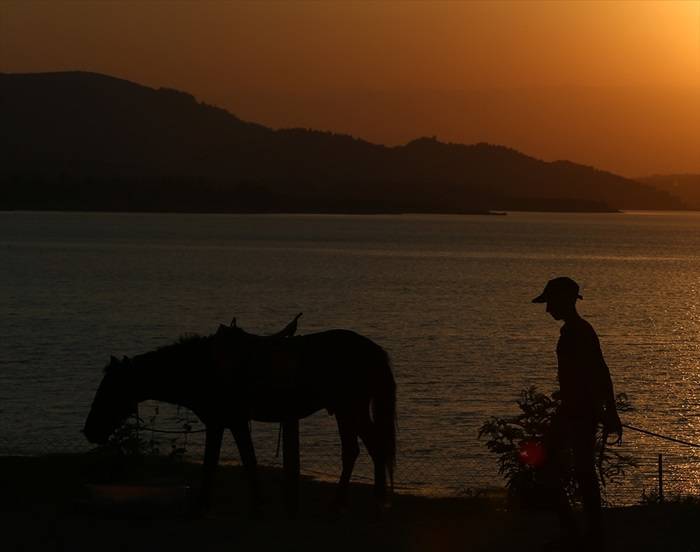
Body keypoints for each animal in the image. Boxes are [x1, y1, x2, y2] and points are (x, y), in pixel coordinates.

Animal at [82, 316, 396, 516]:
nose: (89, 431)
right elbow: (236, 461)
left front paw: (212, 504)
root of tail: (372, 350)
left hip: (351, 408)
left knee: (373, 446)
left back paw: (374, 501)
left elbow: (226, 462)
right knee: (356, 450)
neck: (202, 368)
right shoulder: (227, 422)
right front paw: (247, 502)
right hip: (344, 410)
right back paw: (346, 501)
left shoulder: (225, 421)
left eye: (109, 389)